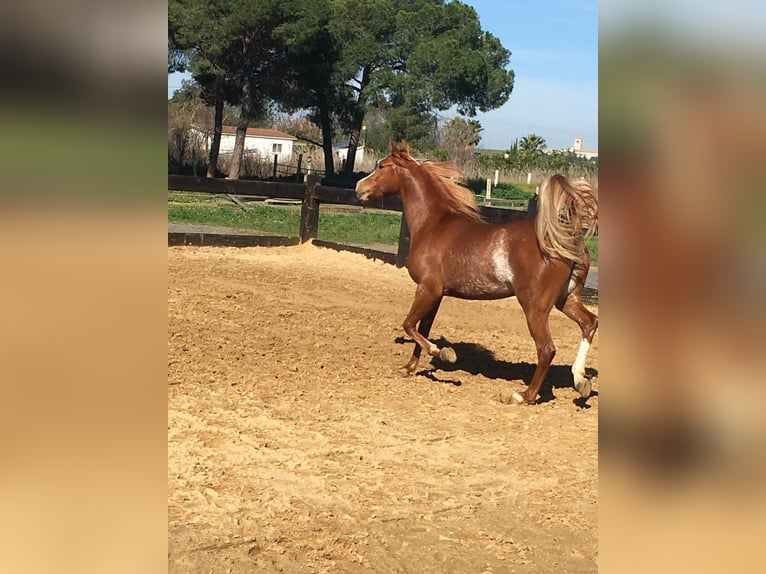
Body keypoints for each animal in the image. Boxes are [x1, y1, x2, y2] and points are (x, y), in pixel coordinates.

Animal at [354, 142, 600, 408]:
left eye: (381, 166)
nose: (358, 187)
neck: (433, 225)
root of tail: (565, 238)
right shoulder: (437, 295)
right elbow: (423, 329)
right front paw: (408, 368)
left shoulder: (427, 289)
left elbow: (409, 325)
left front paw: (444, 353)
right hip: (566, 299)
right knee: (589, 323)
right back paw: (581, 381)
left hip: (535, 306)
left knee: (547, 349)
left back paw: (524, 395)